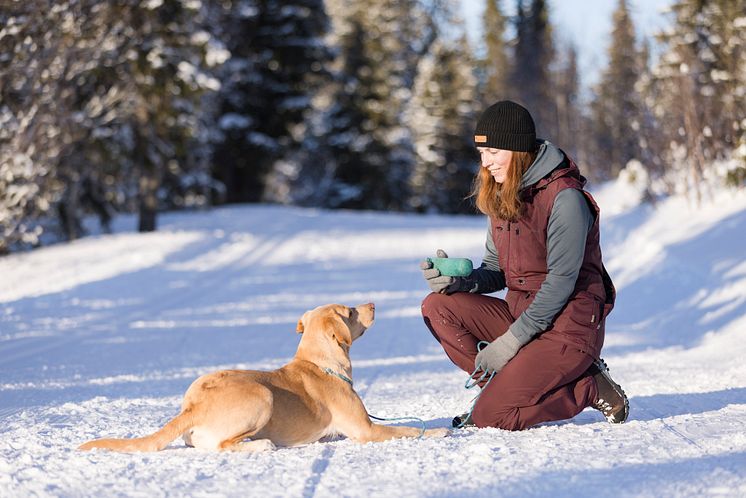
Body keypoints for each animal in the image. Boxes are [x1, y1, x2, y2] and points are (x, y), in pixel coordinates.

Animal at [78, 302, 444, 454]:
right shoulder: (366, 430)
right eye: (351, 311)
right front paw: (439, 431)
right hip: (261, 397)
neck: (320, 362)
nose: (372, 303)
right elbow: (408, 429)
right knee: (225, 446)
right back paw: (262, 444)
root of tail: (193, 406)